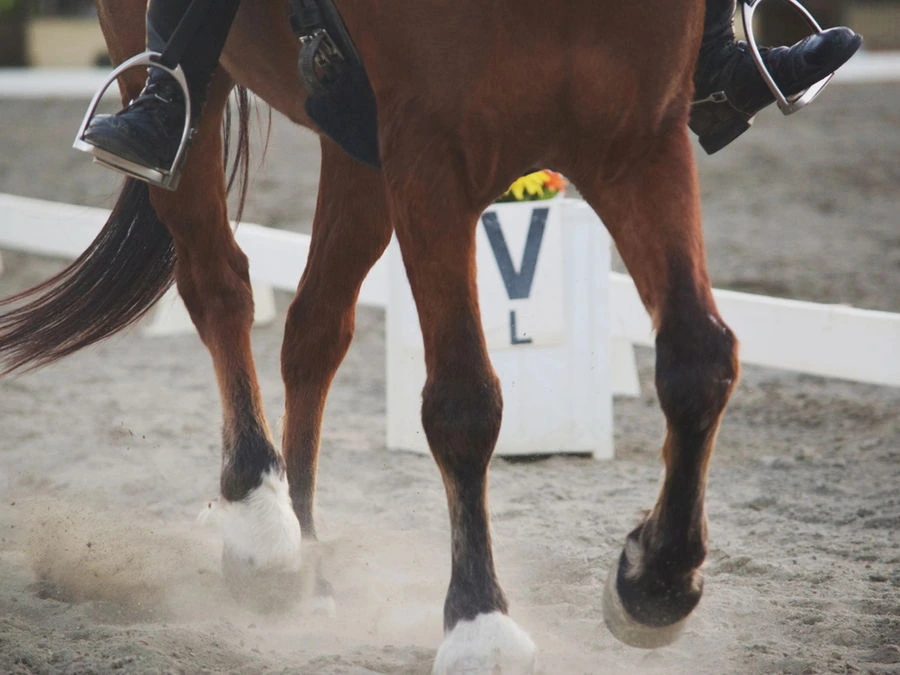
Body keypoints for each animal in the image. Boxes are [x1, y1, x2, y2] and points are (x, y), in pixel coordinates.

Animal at [0, 0, 739, 671]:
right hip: (178, 81)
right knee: (219, 285)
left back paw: (309, 566)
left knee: (313, 332)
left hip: (357, 150)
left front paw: (656, 583)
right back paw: (262, 527)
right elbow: (463, 401)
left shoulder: (639, 140)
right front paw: (480, 624)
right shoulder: (430, 151)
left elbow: (699, 359)